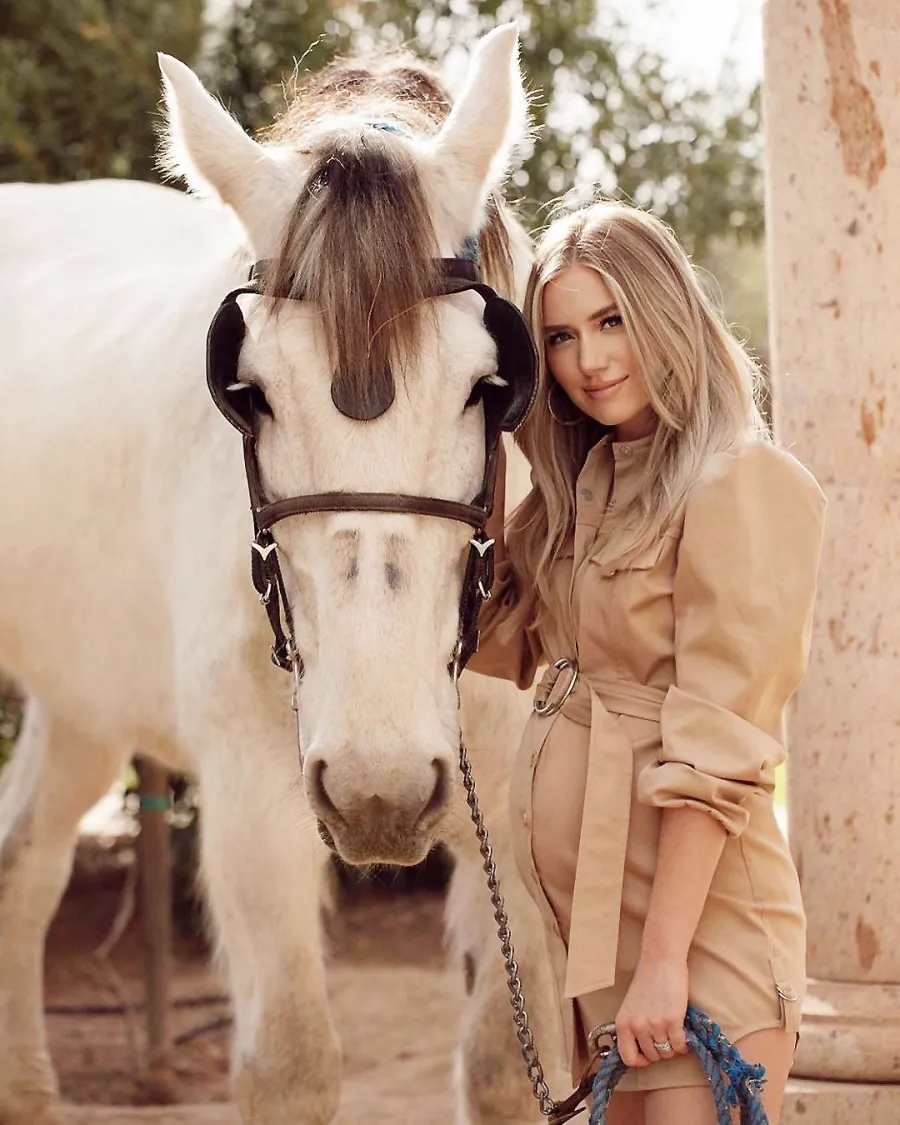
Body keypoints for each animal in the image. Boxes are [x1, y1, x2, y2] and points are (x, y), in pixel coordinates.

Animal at [0, 26, 565, 1125]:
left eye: (492, 383)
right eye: (247, 390)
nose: (380, 790)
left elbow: (503, 1067)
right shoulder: (255, 798)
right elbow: (291, 1064)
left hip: (83, 696)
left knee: (23, 863)